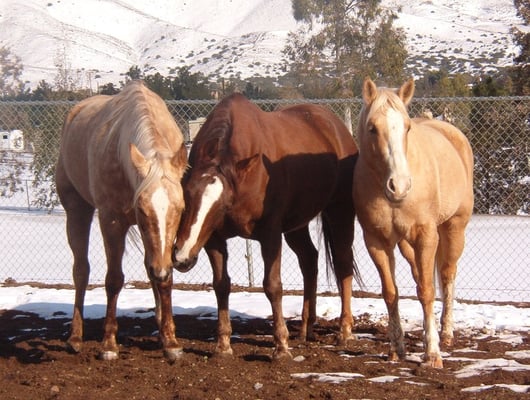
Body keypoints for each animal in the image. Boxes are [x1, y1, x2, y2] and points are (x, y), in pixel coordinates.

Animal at [55, 81, 187, 362]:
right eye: (142, 209)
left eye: (180, 209)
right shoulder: (112, 222)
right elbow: (114, 279)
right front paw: (109, 344)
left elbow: (162, 277)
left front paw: (170, 341)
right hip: (77, 210)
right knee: (80, 270)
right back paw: (75, 337)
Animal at [171, 93, 360, 360]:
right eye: (186, 193)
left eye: (223, 203)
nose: (182, 257)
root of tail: (339, 129)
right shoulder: (214, 240)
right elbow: (221, 285)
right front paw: (223, 345)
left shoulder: (270, 234)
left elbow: (272, 286)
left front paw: (281, 346)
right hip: (296, 226)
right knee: (309, 260)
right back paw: (306, 327)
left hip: (339, 212)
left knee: (343, 263)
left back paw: (344, 330)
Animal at [352, 76, 472, 368]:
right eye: (372, 128)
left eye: (406, 128)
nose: (400, 186)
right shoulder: (377, 242)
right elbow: (391, 292)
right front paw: (397, 349)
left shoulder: (426, 235)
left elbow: (428, 290)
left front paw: (432, 353)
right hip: (407, 245)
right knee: (422, 275)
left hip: (454, 228)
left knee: (447, 274)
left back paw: (446, 332)